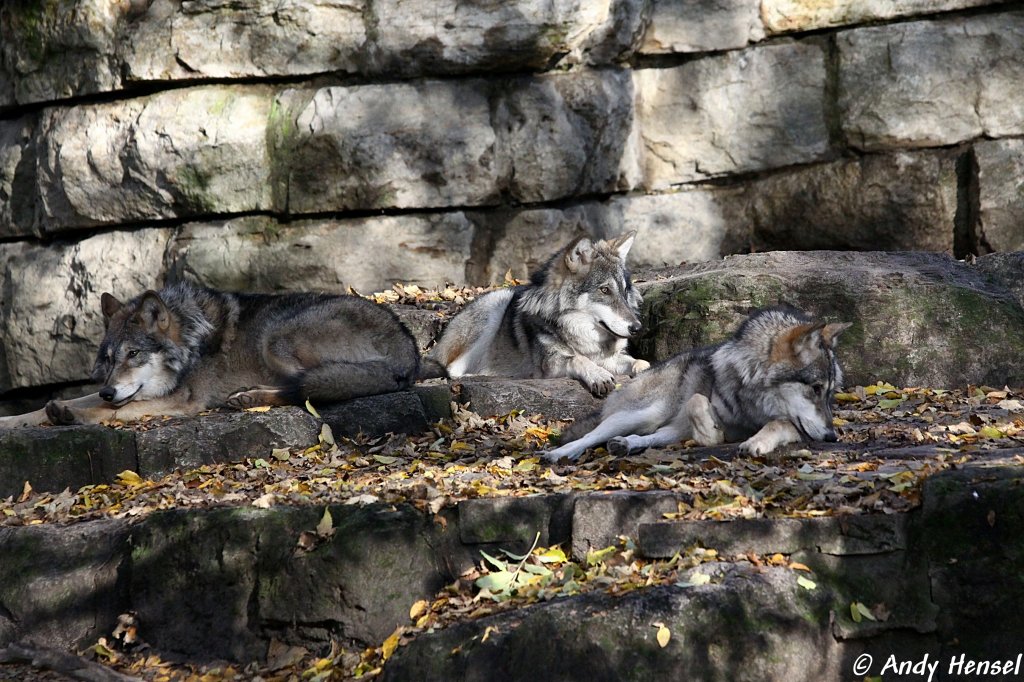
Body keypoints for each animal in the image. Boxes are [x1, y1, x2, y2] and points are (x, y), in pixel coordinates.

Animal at [0, 280, 423, 425]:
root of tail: (409, 348)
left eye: (134, 354)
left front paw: (71, 415)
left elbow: (104, 412)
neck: (190, 340)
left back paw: (247, 397)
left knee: (303, 391)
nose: (108, 388)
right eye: (109, 358)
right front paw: (24, 418)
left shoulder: (182, 400)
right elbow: (60, 406)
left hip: (276, 338)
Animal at [428, 231, 651, 395]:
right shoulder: (549, 365)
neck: (580, 334)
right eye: (604, 290)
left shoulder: (608, 358)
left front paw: (646, 370)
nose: (637, 328)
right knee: (452, 369)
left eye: (624, 291)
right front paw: (598, 375)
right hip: (495, 306)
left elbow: (639, 362)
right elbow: (577, 359)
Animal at [548, 307, 851, 462]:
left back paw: (627, 445)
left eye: (829, 394)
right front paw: (712, 433)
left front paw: (755, 442)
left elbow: (778, 423)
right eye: (815, 388)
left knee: (651, 436)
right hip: (644, 413)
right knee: (591, 435)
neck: (753, 395)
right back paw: (558, 453)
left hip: (666, 428)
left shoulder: (796, 427)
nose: (832, 438)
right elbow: (696, 401)